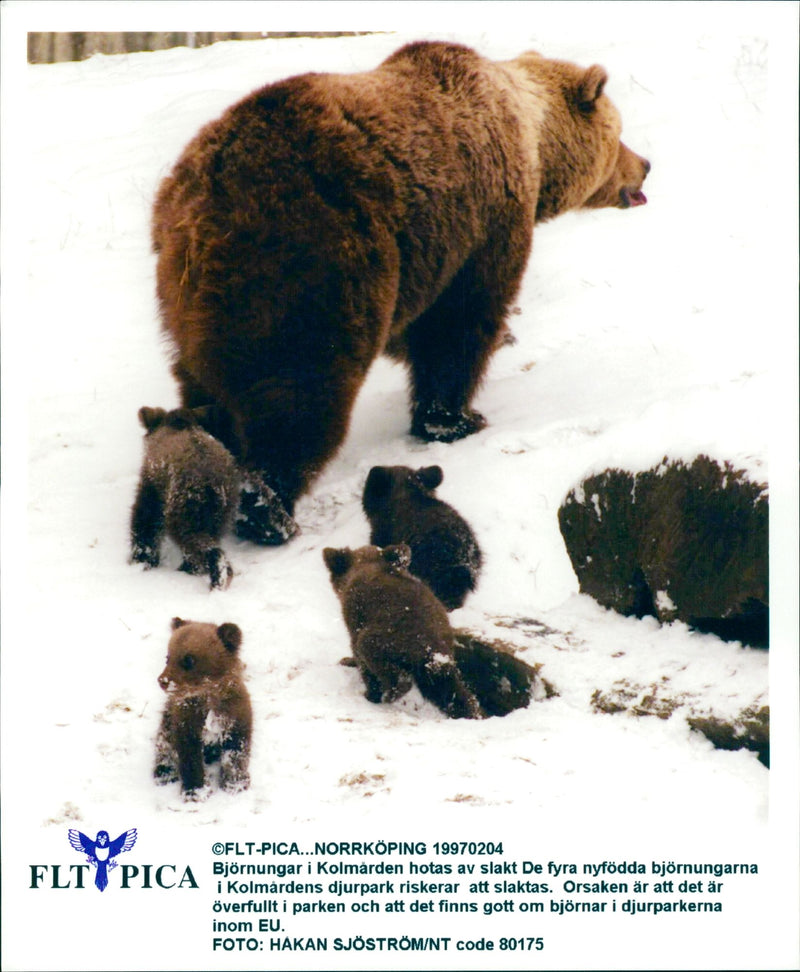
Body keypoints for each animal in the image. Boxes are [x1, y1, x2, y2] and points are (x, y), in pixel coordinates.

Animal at [152, 41, 648, 544]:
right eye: (620, 132)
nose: (645, 165)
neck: (532, 140)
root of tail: (207, 202)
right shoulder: (481, 223)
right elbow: (460, 323)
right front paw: (456, 418)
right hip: (308, 264)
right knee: (298, 392)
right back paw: (270, 514)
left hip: (191, 298)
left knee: (205, 390)